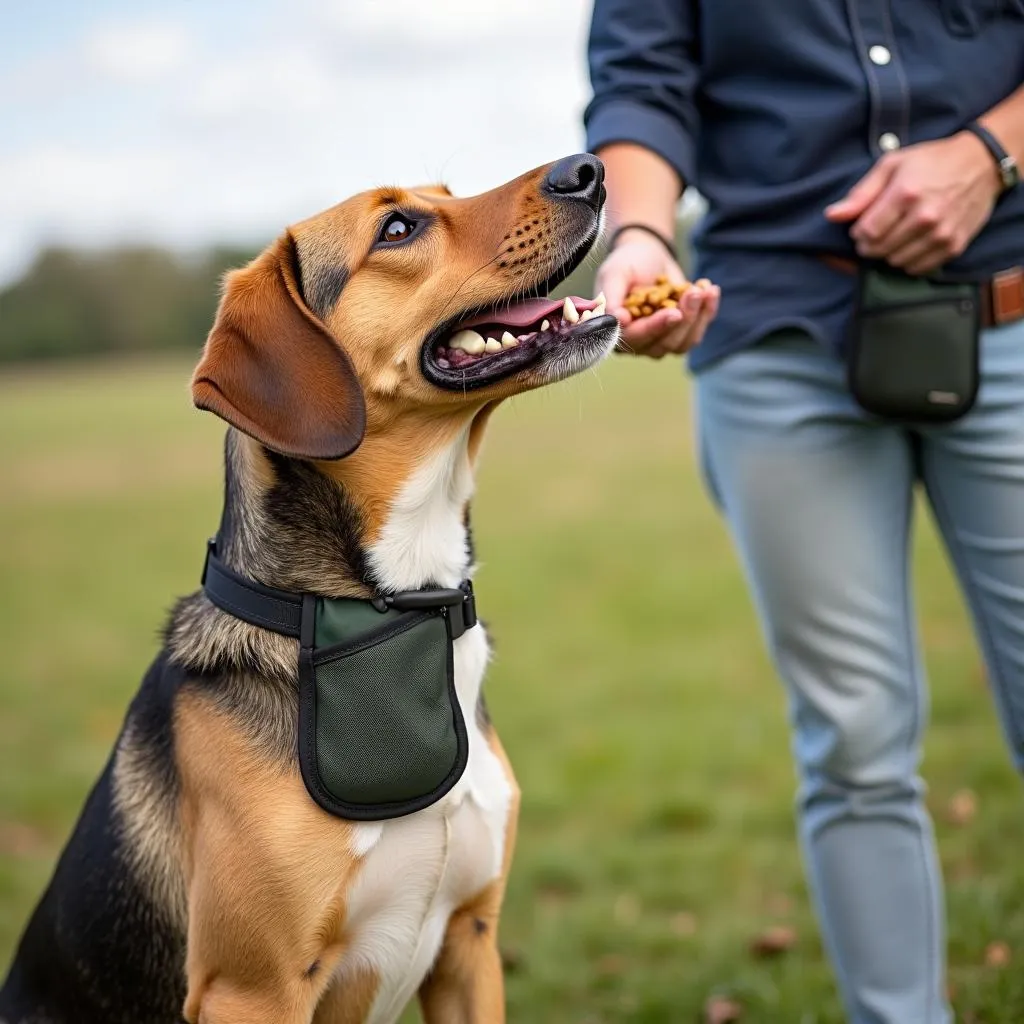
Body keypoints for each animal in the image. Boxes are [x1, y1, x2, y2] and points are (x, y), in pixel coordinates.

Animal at [2, 153, 614, 1024]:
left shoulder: (471, 941)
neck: (399, 599)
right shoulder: (252, 991)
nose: (587, 168)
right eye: (398, 228)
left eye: (446, 195)